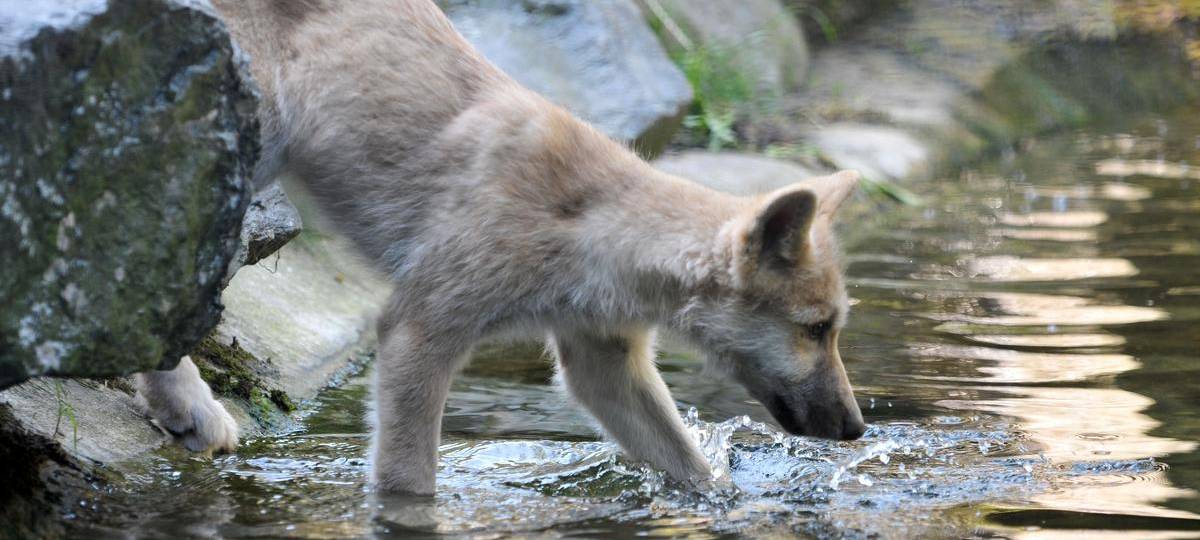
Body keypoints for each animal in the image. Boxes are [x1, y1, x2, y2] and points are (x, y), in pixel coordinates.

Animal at [134, 0, 865, 495]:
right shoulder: (419, 332)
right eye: (815, 329)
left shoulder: (603, 364)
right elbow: (409, 479)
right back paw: (191, 403)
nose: (858, 429)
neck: (591, 227)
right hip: (247, 144)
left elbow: (690, 466)